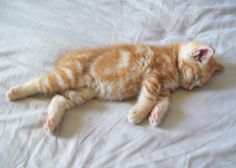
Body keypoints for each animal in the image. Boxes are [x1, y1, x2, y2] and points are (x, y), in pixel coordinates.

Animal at [5, 41, 223, 134]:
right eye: (194, 78)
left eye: (197, 85)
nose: (189, 88)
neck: (171, 57)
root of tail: (64, 58)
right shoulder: (153, 77)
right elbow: (148, 98)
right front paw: (138, 114)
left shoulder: (164, 91)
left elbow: (164, 103)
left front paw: (155, 116)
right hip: (67, 75)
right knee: (40, 82)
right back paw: (14, 92)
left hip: (83, 92)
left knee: (59, 99)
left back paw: (51, 122)